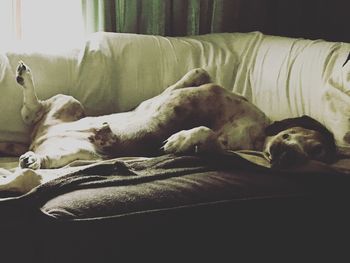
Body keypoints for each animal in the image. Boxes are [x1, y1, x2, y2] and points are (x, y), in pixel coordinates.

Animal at [0, 62, 342, 194]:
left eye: (318, 153)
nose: (287, 157)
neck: (260, 133)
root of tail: (37, 140)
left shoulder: (229, 143)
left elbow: (206, 134)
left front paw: (179, 140)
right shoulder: (200, 82)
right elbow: (196, 74)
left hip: (74, 152)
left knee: (40, 146)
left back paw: (33, 158)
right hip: (67, 103)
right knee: (31, 110)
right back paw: (25, 80)